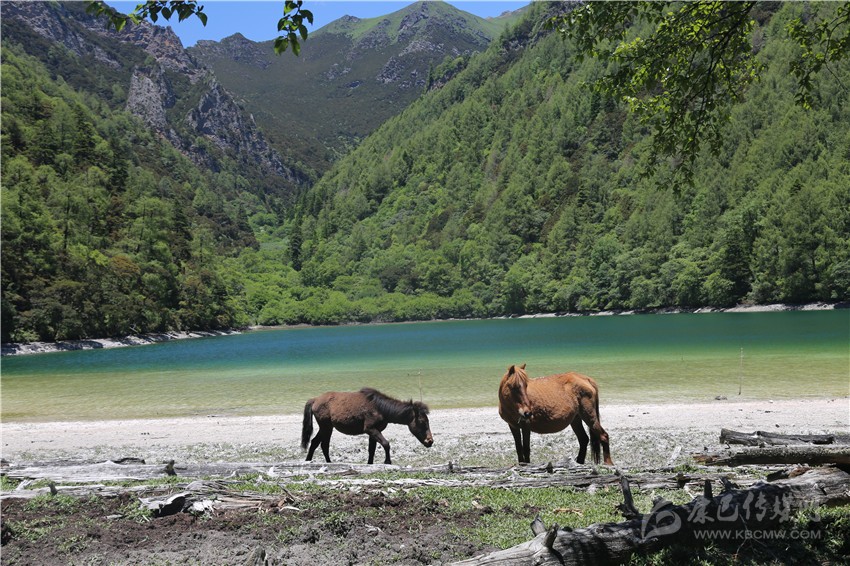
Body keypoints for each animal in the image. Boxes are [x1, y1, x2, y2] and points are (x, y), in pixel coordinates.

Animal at [301, 387, 433, 464]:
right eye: (422, 422)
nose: (430, 441)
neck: (380, 408)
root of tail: (315, 399)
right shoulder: (371, 429)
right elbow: (386, 444)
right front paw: (387, 461)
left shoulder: (374, 432)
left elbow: (372, 450)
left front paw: (370, 464)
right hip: (326, 427)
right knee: (323, 444)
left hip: (326, 428)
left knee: (315, 443)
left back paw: (309, 461)